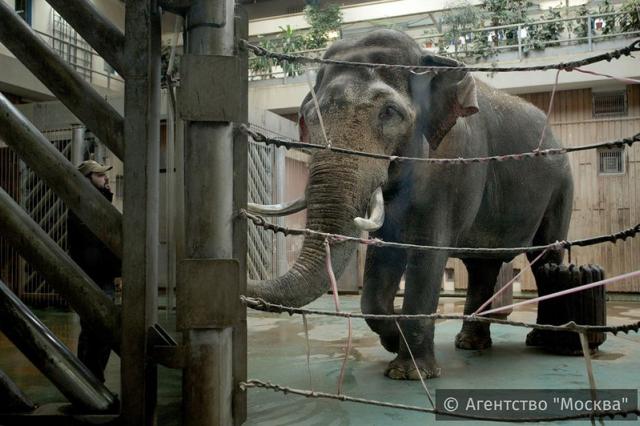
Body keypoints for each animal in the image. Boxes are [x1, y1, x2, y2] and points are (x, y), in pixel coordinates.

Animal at [246, 30, 576, 382]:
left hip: (562, 186)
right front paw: (393, 339)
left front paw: (408, 372)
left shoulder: (454, 165)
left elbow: (428, 250)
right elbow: (382, 258)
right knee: (482, 265)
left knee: (546, 257)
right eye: (308, 116)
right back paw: (470, 343)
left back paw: (540, 340)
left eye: (390, 112)